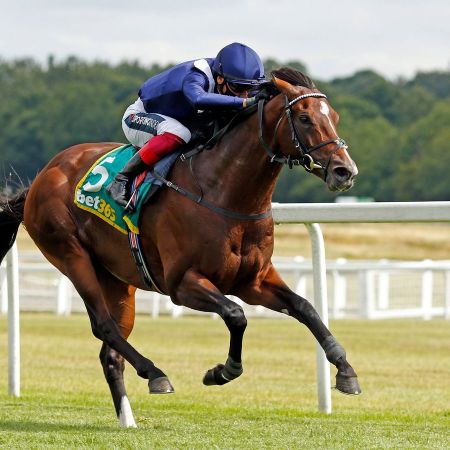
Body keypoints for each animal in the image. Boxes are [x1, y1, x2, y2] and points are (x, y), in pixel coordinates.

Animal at [0, 68, 360, 428]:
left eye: (335, 117)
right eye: (304, 117)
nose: (345, 170)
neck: (222, 191)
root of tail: (43, 176)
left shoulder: (253, 281)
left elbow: (305, 307)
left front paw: (345, 371)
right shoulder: (182, 284)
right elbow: (236, 315)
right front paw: (222, 371)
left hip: (117, 280)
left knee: (110, 350)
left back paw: (128, 419)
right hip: (71, 254)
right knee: (102, 325)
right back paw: (155, 373)